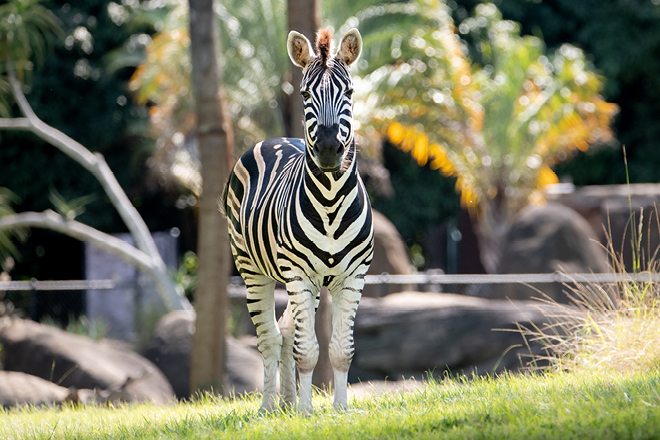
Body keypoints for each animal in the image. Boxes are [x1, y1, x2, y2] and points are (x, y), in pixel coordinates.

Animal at [222, 28, 373, 413]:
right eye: (305, 94)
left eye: (350, 92)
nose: (330, 150)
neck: (331, 200)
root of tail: (275, 138)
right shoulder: (298, 274)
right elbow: (307, 351)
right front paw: (308, 413)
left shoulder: (353, 276)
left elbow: (341, 350)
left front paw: (340, 410)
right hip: (253, 269)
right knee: (270, 338)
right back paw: (269, 408)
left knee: (288, 333)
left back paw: (288, 404)